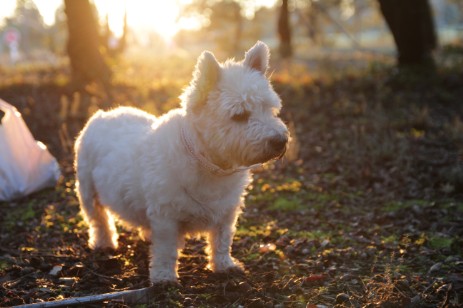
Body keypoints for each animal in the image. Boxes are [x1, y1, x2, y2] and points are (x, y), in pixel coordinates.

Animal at [74, 41, 288, 284]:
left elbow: (222, 241)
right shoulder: (166, 217)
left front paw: (224, 266)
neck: (210, 164)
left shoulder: (226, 212)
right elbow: (167, 250)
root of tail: (101, 114)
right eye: (239, 115)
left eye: (269, 109)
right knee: (98, 219)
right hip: (87, 188)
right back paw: (105, 243)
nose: (280, 141)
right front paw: (164, 278)